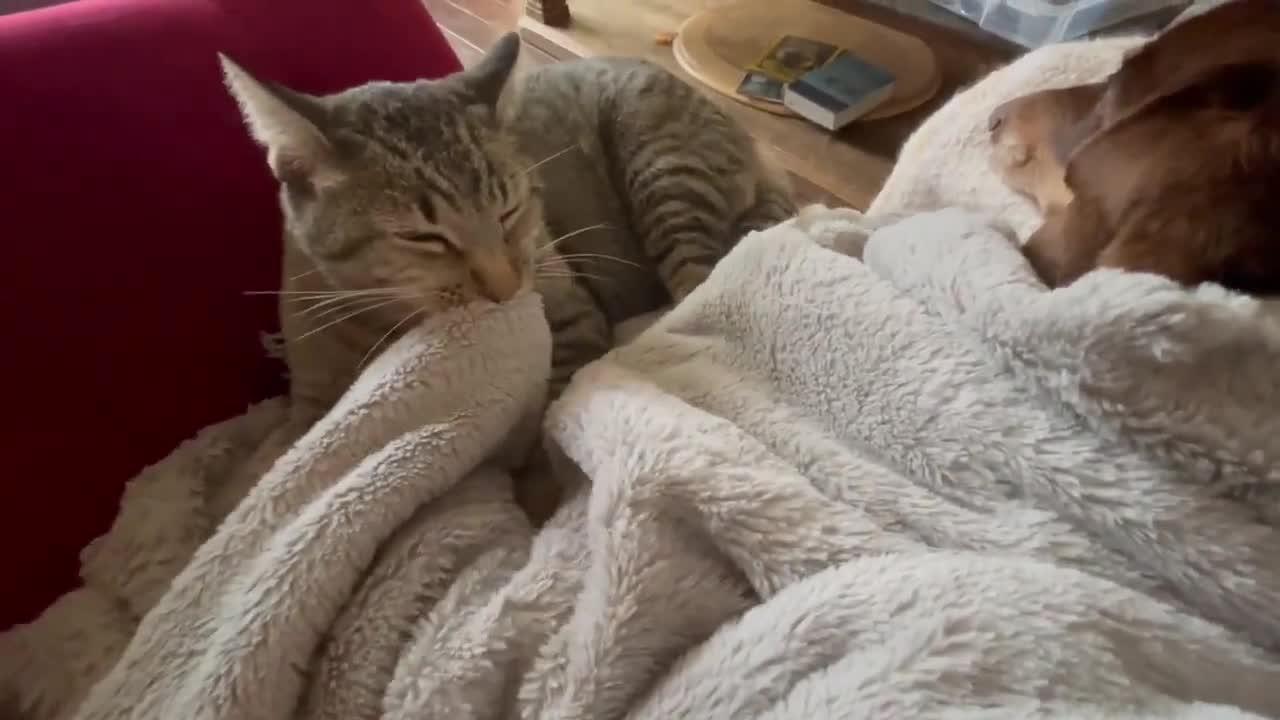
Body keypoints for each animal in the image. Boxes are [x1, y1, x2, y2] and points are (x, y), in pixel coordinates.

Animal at [225, 32, 793, 409]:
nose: (505, 291)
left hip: (664, 170)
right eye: (422, 236)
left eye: (509, 210)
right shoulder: (313, 393)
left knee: (700, 284)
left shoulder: (570, 312)